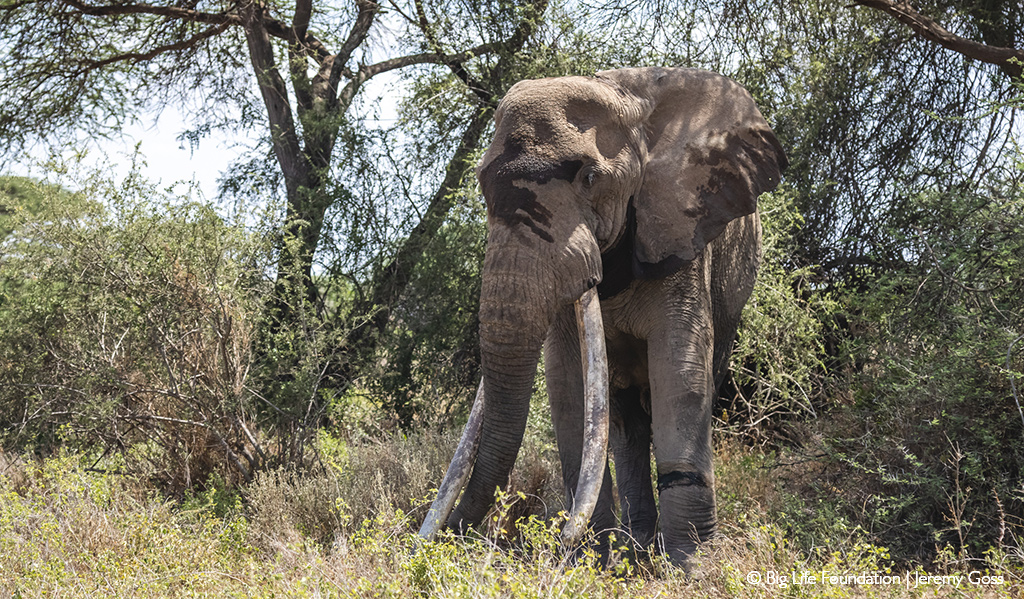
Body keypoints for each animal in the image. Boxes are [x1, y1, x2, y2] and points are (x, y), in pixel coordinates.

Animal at [419, 65, 786, 565]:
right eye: (479, 182)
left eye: (590, 177)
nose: (448, 539)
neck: (626, 99)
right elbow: (566, 380)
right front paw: (586, 564)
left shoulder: (680, 230)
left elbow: (680, 369)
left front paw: (692, 566)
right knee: (626, 418)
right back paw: (634, 550)